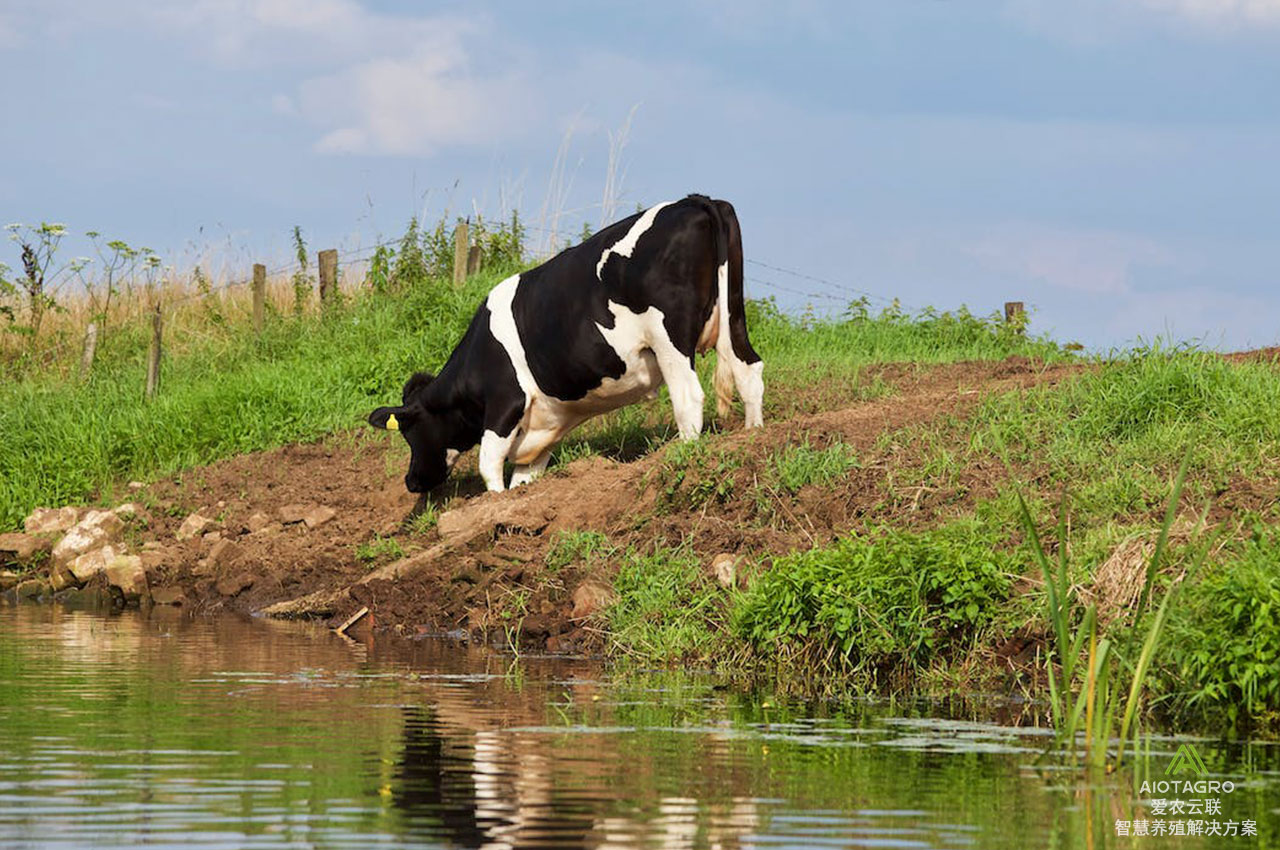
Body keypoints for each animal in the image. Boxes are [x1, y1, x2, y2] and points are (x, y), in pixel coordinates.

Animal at [371, 193, 768, 494]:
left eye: (410, 432)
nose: (411, 481)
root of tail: (694, 199)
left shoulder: (506, 401)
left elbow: (489, 465)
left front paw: (493, 504)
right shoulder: (543, 422)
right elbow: (524, 477)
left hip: (669, 338)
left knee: (688, 397)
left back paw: (683, 453)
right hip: (733, 315)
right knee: (748, 369)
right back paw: (754, 433)